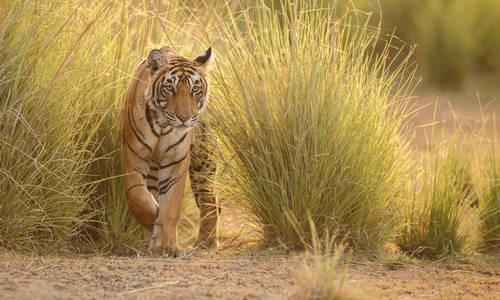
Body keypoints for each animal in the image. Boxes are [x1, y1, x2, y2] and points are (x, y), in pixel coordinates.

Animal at [122, 45, 218, 256]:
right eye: (169, 88)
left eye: (195, 89)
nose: (184, 117)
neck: (162, 126)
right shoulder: (134, 155)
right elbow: (138, 197)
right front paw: (154, 224)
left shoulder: (176, 160)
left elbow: (171, 206)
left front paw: (167, 245)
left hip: (204, 160)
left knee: (210, 201)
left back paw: (206, 242)